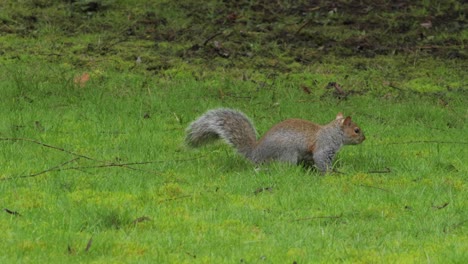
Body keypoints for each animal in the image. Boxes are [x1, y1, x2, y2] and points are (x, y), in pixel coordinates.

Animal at [186, 108, 366, 173]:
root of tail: (256, 153)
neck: (333, 133)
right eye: (356, 130)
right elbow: (321, 160)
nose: (364, 138)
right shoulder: (324, 147)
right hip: (287, 154)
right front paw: (330, 173)